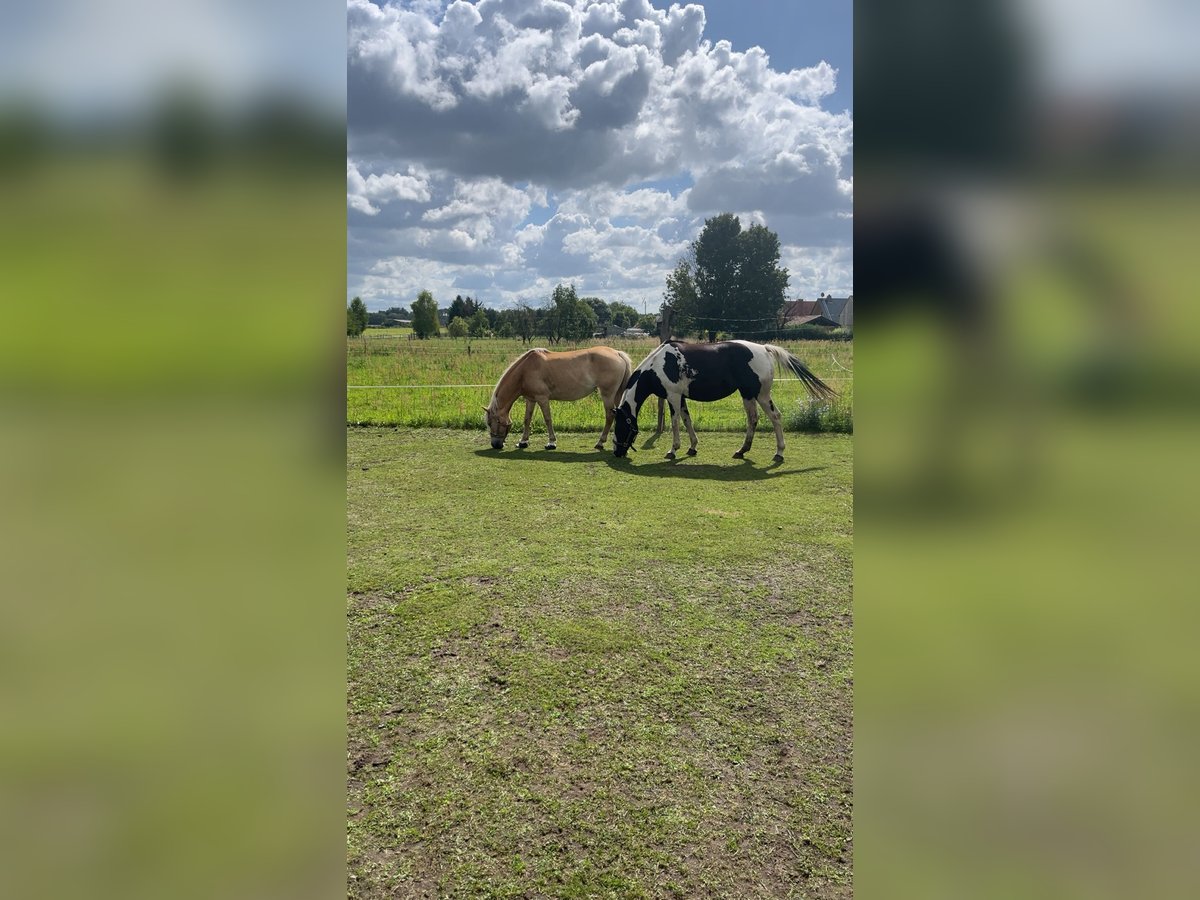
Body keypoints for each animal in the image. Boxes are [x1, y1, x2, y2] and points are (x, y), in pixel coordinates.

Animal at [484, 346, 632, 451]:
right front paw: (523, 442)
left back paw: (600, 442)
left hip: (607, 394)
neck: (525, 370)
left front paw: (551, 443)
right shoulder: (531, 399)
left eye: (491, 423)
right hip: (617, 394)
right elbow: (527, 419)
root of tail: (617, 353)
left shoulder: (542, 399)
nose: (495, 444)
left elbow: (548, 419)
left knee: (609, 416)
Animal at [611, 340, 836, 462]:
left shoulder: (673, 396)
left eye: (620, 427)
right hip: (751, 395)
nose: (617, 452)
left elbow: (675, 423)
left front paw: (673, 450)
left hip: (757, 395)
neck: (659, 364)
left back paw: (777, 452)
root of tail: (764, 349)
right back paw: (743, 451)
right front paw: (692, 447)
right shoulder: (681, 398)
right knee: (758, 419)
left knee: (771, 417)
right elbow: (687, 420)